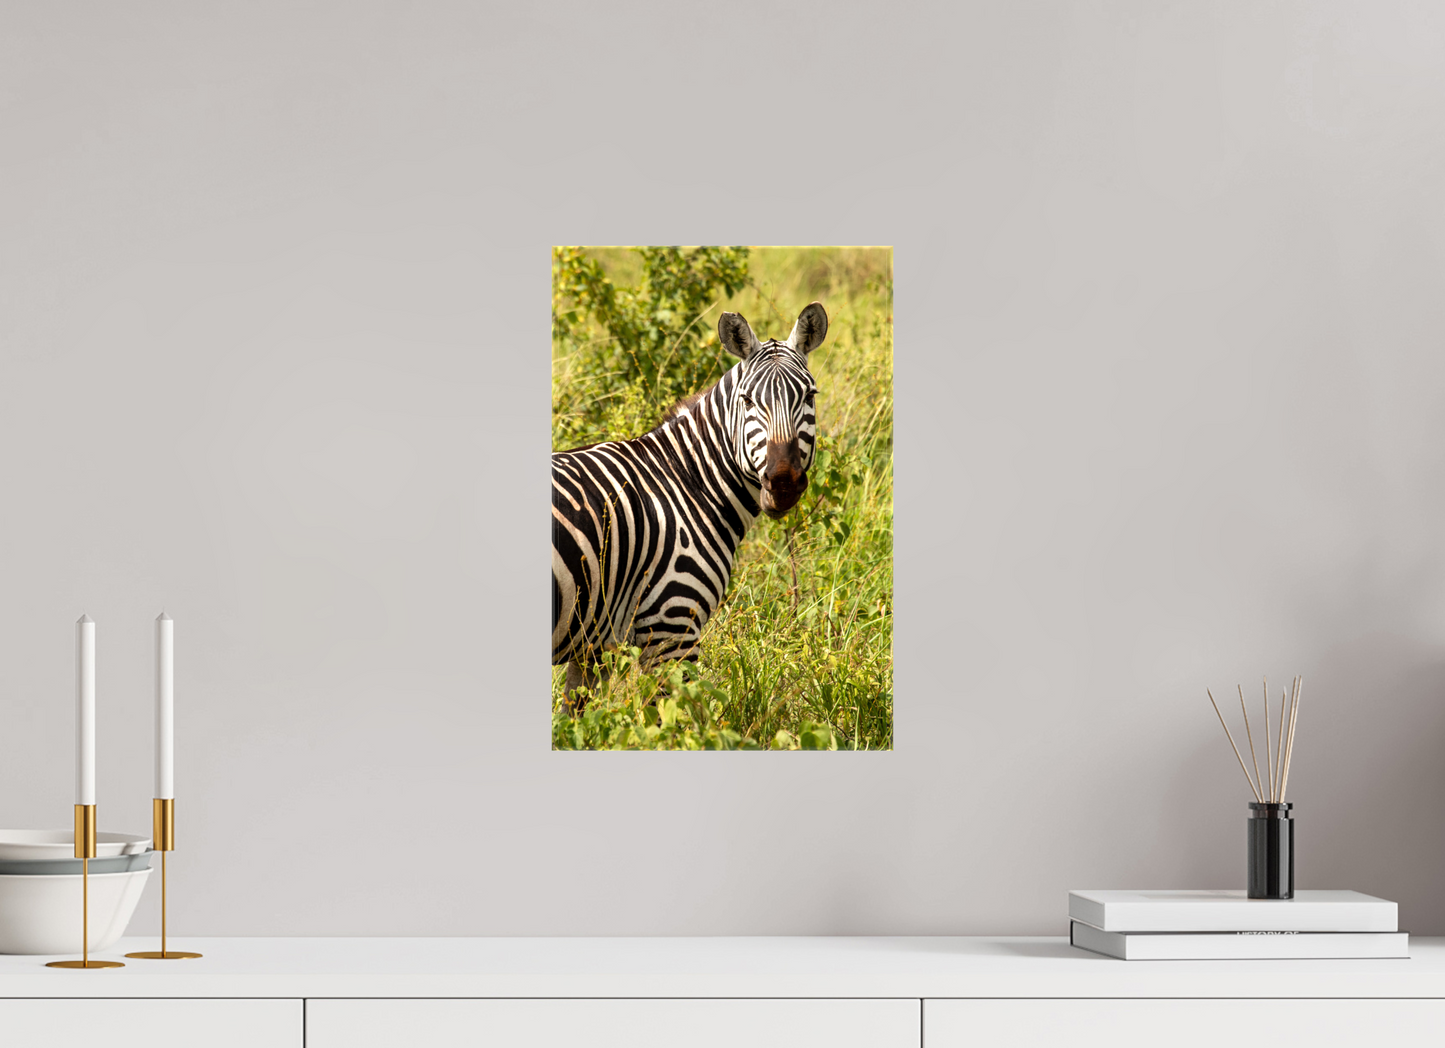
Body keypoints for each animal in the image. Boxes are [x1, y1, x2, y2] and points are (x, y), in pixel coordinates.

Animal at [552, 302, 829, 707]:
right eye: (747, 401)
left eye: (809, 396)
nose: (783, 484)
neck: (686, 480)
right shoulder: (672, 626)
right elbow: (677, 717)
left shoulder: (593, 645)